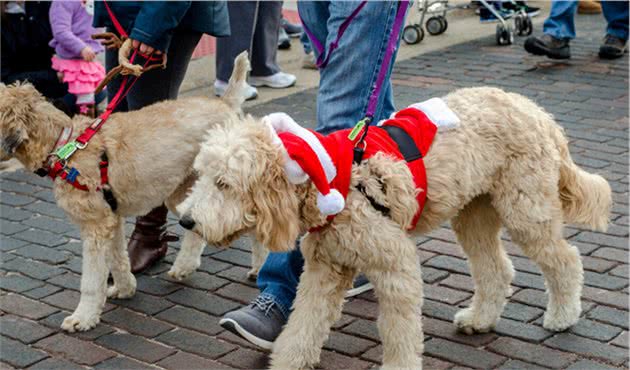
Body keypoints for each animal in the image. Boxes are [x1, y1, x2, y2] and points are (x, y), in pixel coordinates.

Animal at [0, 52, 270, 332]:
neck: (65, 148)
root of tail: (225, 104)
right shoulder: (112, 219)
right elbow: (118, 258)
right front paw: (124, 288)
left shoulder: (95, 226)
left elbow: (91, 281)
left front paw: (83, 317)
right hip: (184, 192)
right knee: (197, 230)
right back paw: (185, 266)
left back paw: (259, 269)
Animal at [178, 87, 612, 370]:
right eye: (203, 176)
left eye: (224, 183)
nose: (185, 220)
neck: (332, 182)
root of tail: (538, 112)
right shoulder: (324, 271)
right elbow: (303, 325)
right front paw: (288, 361)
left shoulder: (395, 267)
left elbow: (398, 330)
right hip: (474, 215)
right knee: (496, 269)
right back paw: (480, 319)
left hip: (526, 209)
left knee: (565, 259)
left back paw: (563, 315)